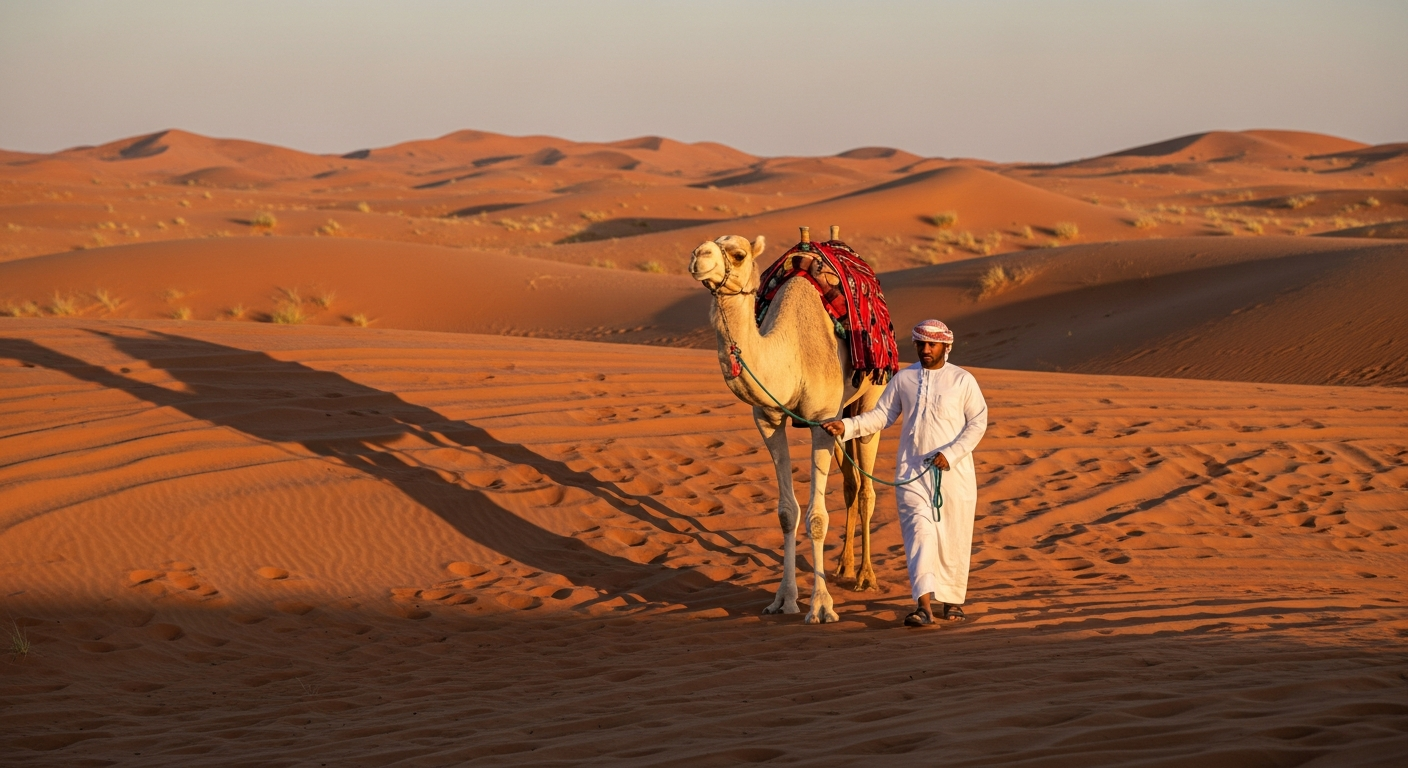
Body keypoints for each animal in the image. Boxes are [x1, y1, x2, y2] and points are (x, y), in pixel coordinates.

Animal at [688, 227, 884, 624]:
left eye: (738, 254)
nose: (698, 256)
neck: (790, 354)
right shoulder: (768, 419)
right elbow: (786, 512)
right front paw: (784, 600)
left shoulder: (822, 420)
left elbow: (817, 517)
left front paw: (821, 607)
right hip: (844, 414)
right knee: (851, 485)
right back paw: (843, 566)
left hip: (871, 396)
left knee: (867, 488)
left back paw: (865, 576)